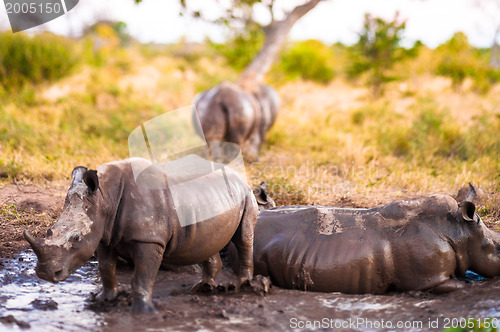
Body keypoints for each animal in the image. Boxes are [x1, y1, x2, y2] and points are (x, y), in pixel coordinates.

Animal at [23, 158, 258, 314]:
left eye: (76, 238)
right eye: (49, 231)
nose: (45, 273)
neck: (105, 197)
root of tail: (239, 175)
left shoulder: (149, 238)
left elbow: (142, 275)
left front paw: (143, 311)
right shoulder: (104, 234)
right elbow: (106, 268)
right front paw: (105, 300)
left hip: (247, 194)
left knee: (244, 237)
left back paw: (243, 284)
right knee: (207, 242)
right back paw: (203, 288)